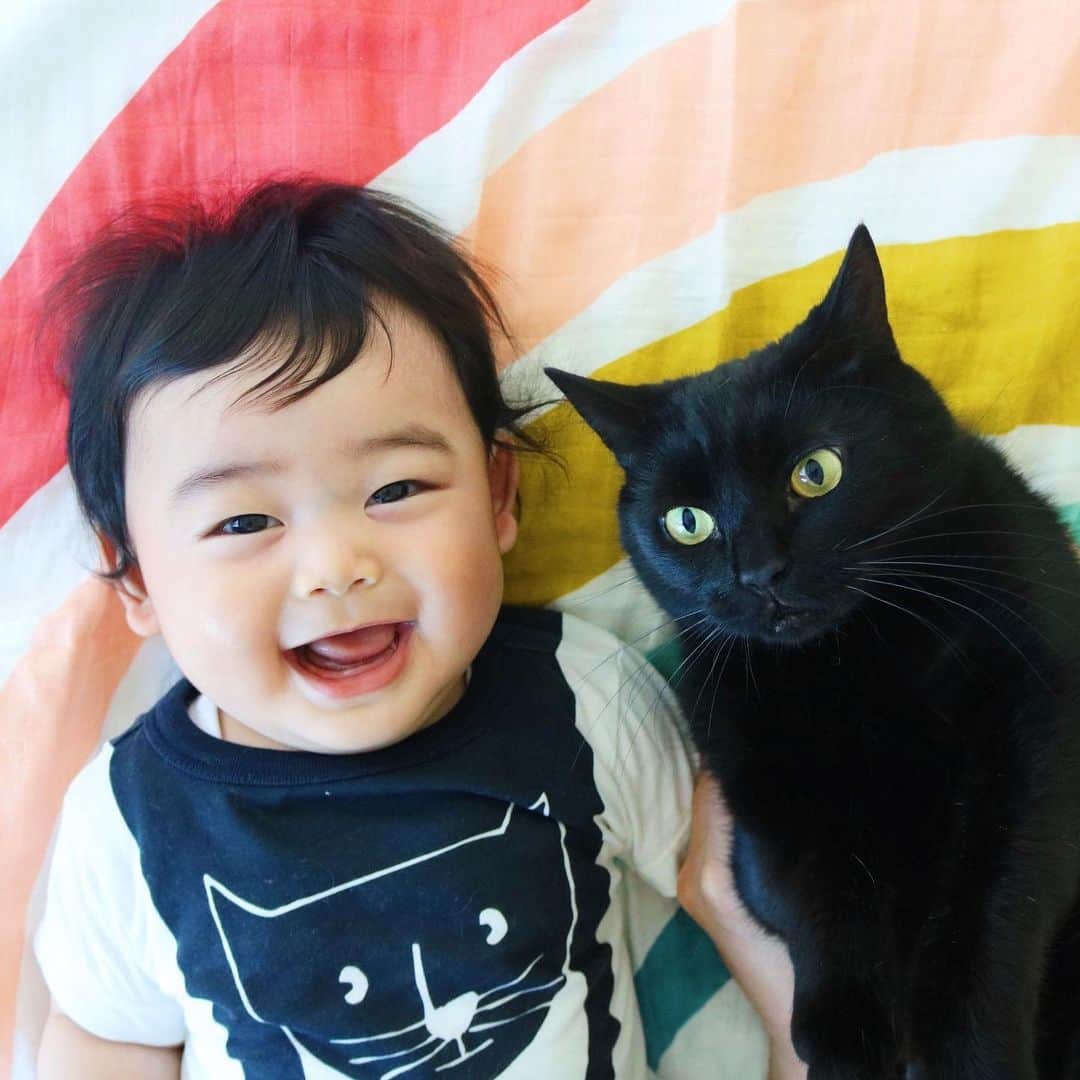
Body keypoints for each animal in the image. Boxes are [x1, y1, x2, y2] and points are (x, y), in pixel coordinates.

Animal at [548, 223, 1080, 1075]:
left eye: (816, 472)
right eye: (688, 522)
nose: (759, 574)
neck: (853, 660)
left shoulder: (1034, 726)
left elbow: (996, 895)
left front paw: (964, 1051)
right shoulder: (755, 774)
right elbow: (808, 892)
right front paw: (847, 1034)